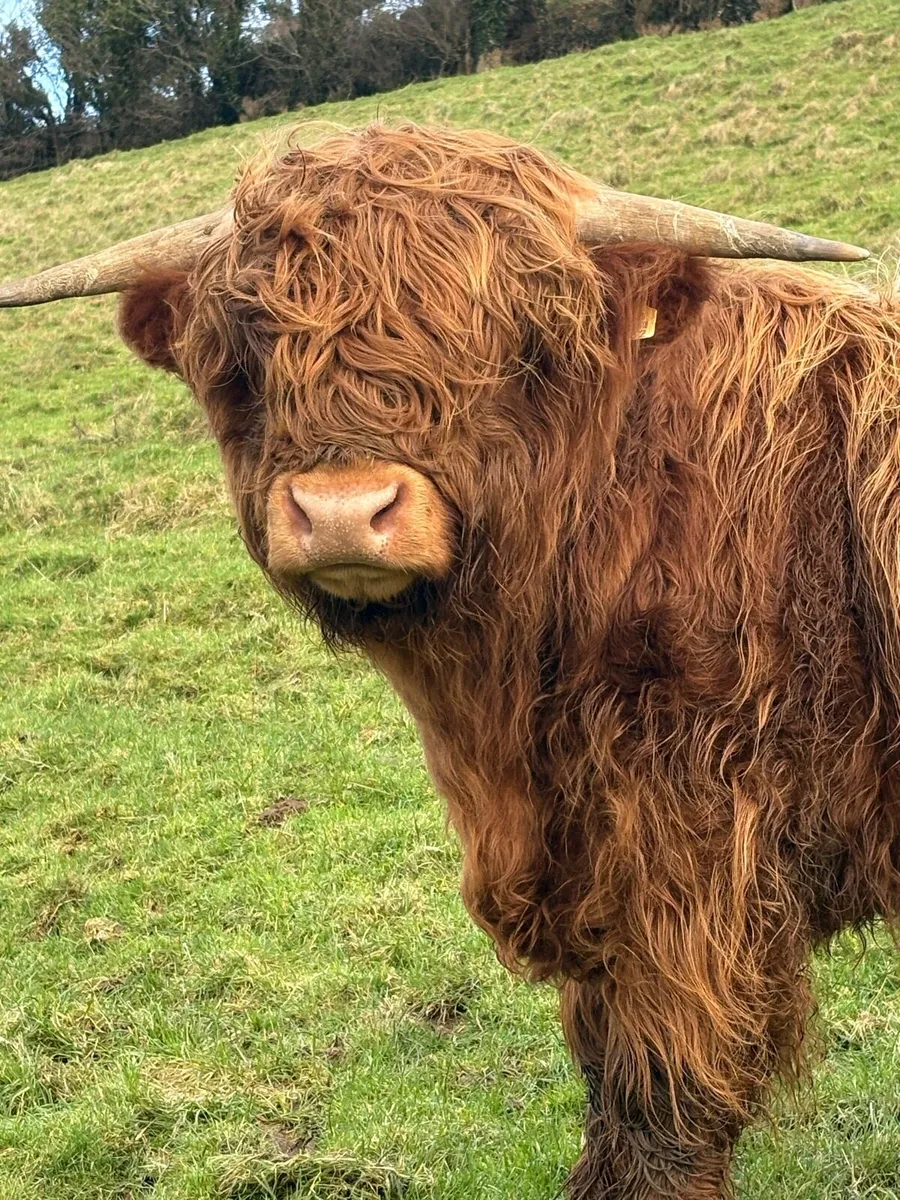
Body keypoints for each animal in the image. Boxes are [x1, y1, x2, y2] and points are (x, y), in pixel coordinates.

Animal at [2, 123, 898, 1199]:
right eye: (250, 348)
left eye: (515, 345)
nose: (343, 510)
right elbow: (607, 1065)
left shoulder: (692, 852)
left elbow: (663, 1091)